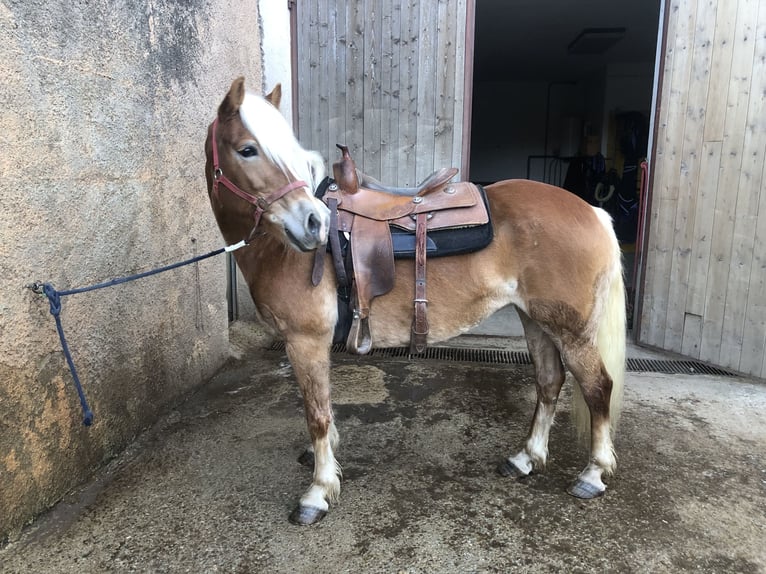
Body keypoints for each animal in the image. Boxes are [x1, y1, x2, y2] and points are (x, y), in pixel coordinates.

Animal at [206, 79, 632, 528]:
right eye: (247, 149)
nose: (314, 224)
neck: (281, 249)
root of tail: (593, 211)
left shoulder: (305, 341)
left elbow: (316, 414)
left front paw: (318, 492)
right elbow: (323, 407)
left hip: (571, 331)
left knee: (598, 387)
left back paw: (593, 473)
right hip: (536, 319)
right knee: (549, 381)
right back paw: (526, 458)